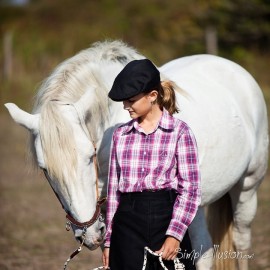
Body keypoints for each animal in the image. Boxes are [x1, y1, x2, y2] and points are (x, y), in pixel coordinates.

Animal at [4, 40, 268, 270]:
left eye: (89, 156)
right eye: (45, 169)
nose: (88, 233)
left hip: (247, 188)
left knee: (240, 241)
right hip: (197, 206)